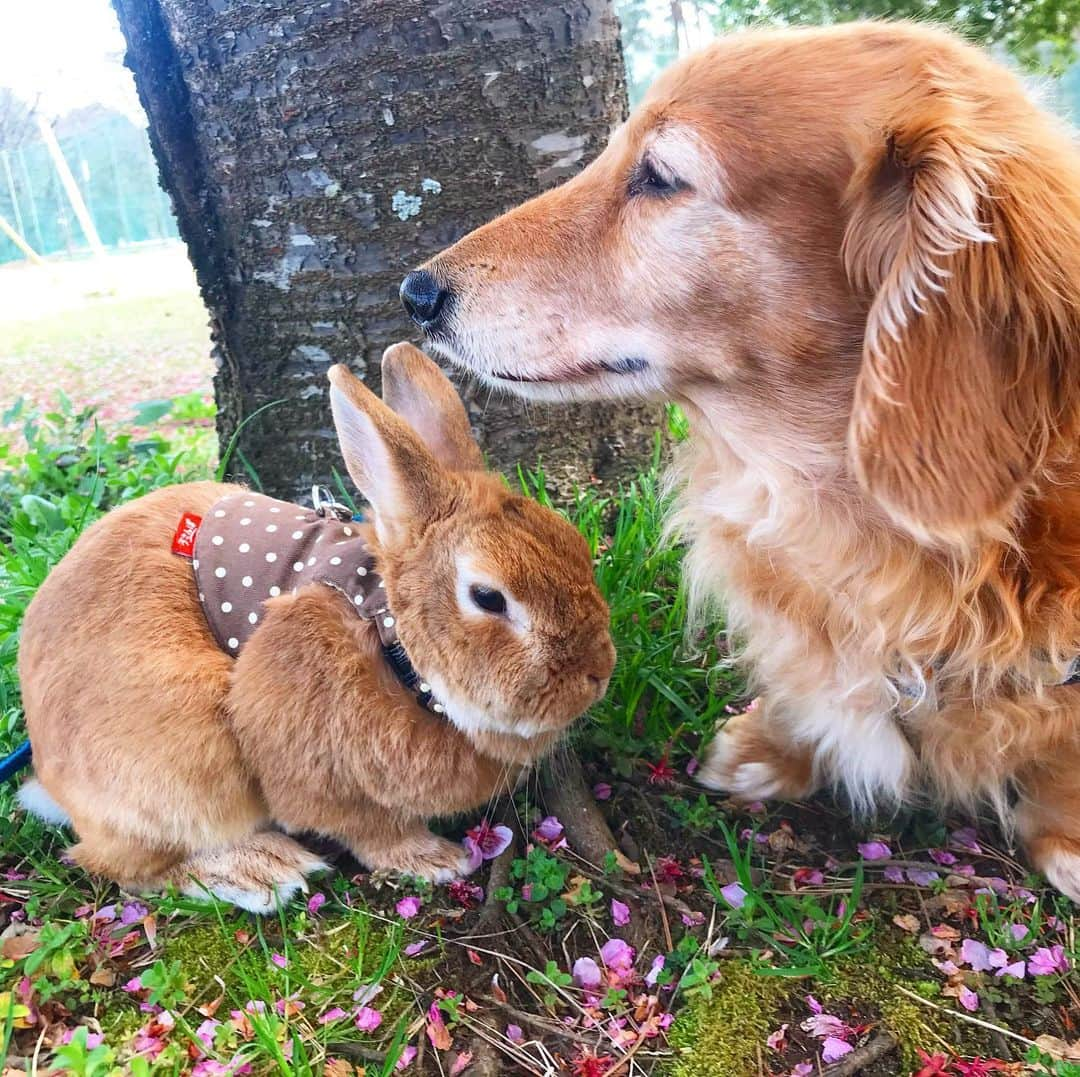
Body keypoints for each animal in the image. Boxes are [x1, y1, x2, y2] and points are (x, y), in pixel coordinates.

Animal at [14, 343, 617, 907]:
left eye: (575, 544)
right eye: (489, 598)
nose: (598, 675)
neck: (390, 641)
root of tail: (50, 776)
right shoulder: (316, 774)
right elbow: (369, 829)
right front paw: (434, 860)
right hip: (191, 763)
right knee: (123, 864)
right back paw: (260, 871)